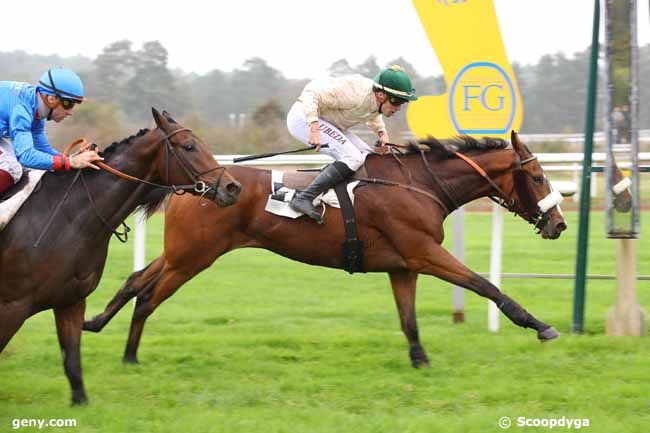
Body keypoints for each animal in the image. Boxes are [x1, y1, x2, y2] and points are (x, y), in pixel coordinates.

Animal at [0, 109, 240, 404]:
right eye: (189, 146)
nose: (233, 187)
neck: (66, 219)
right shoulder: (11, 305)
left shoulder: (71, 301)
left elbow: (73, 365)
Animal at [87, 131, 568, 368]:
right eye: (538, 177)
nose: (560, 224)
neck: (418, 184)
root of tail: (199, 183)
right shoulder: (424, 252)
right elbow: (486, 286)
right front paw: (540, 325)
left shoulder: (403, 265)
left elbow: (408, 319)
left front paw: (419, 359)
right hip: (193, 257)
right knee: (148, 295)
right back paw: (129, 355)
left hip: (182, 253)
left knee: (135, 280)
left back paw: (95, 322)